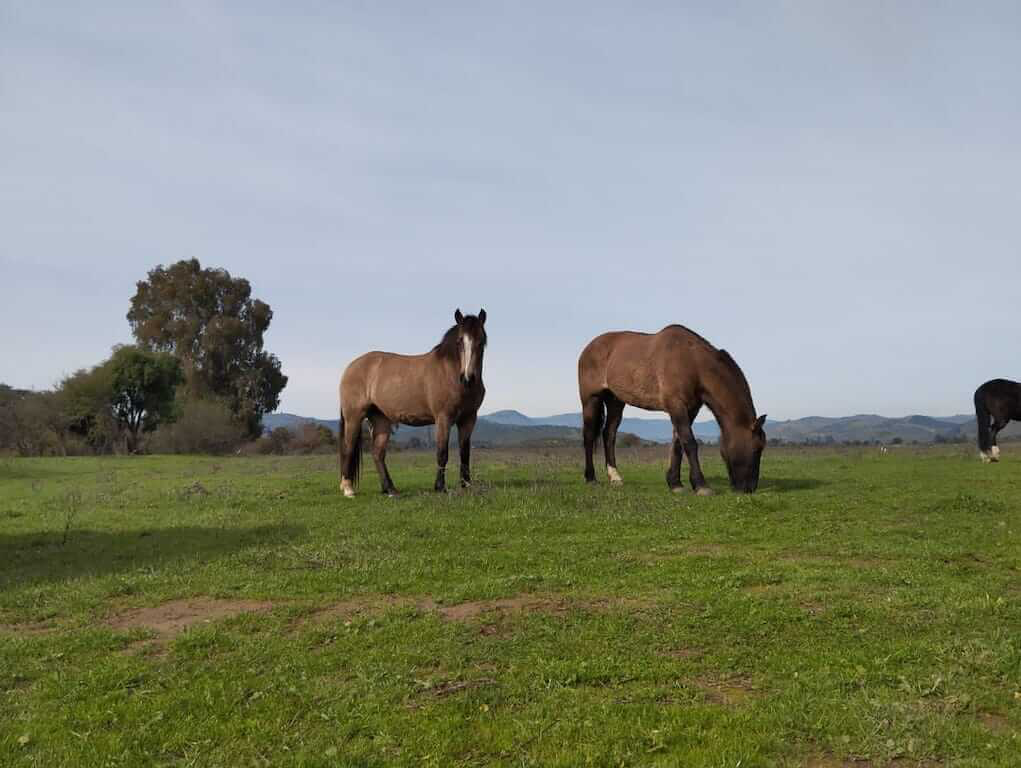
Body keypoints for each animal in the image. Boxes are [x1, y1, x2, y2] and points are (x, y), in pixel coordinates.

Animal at [336, 310, 488, 498]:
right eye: (460, 341)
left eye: (481, 341)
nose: (468, 378)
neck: (450, 373)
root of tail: (351, 367)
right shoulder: (443, 419)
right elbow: (442, 453)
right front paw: (440, 487)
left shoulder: (468, 419)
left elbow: (465, 453)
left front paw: (466, 485)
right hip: (354, 418)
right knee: (348, 448)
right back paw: (348, 489)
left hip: (381, 420)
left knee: (378, 453)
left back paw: (390, 489)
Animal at [584, 322, 767, 492]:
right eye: (757, 448)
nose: (750, 488)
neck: (692, 362)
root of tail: (589, 347)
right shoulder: (676, 405)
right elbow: (689, 442)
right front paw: (701, 485)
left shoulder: (691, 409)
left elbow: (678, 444)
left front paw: (675, 483)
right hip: (591, 399)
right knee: (589, 436)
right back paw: (590, 478)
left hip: (615, 401)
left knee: (609, 435)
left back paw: (615, 477)